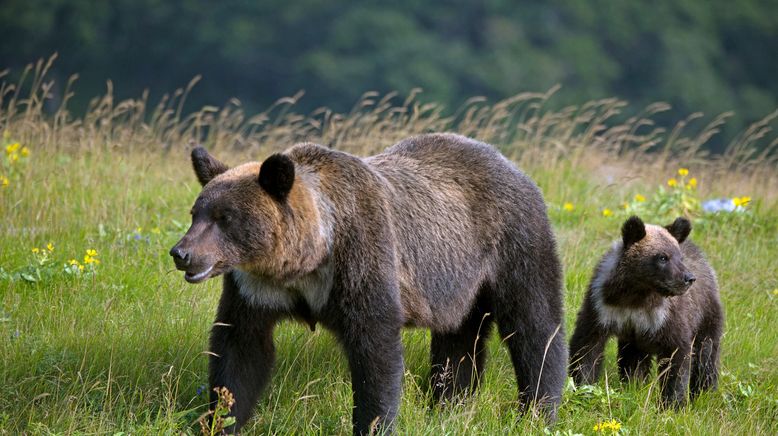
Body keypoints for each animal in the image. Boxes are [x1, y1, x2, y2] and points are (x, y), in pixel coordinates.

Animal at [171, 133, 564, 432]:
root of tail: (511, 164)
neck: (305, 262)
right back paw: (449, 405)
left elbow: (375, 352)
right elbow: (241, 350)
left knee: (534, 324)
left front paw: (373, 423)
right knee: (458, 341)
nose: (181, 253)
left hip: (512, 242)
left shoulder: (360, 261)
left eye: (225, 217)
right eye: (196, 212)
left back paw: (537, 409)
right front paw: (221, 419)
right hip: (458, 282)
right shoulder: (255, 290)